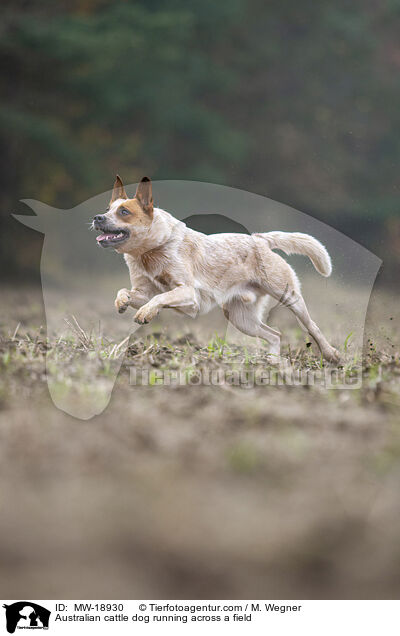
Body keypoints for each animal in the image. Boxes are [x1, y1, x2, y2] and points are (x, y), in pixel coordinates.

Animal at [93, 175, 340, 362]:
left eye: (124, 211)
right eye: (107, 208)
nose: (97, 217)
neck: (149, 253)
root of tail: (261, 239)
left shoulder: (188, 293)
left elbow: (159, 298)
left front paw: (145, 313)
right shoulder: (144, 291)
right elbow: (127, 292)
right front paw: (122, 302)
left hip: (289, 297)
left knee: (311, 327)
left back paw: (331, 355)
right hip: (241, 318)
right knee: (275, 335)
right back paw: (273, 364)